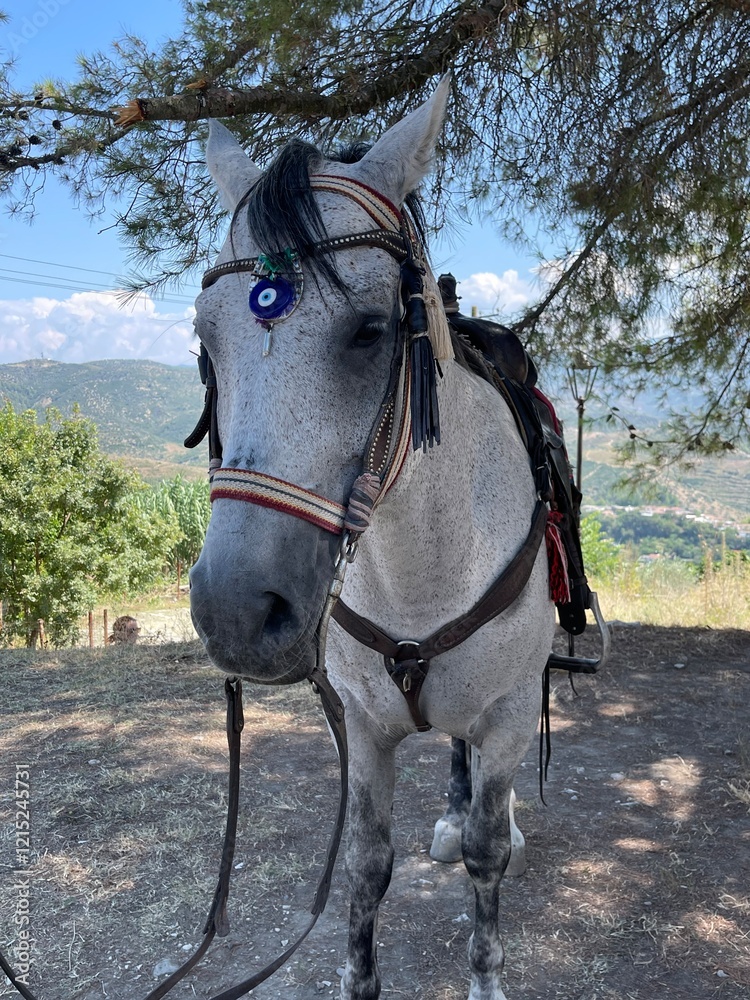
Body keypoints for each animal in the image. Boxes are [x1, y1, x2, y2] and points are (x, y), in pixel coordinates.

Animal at [189, 75, 557, 1000]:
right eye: (207, 341)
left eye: (370, 331)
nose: (238, 613)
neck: (421, 564)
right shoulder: (362, 728)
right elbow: (365, 867)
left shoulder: (507, 719)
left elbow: (487, 859)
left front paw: (486, 974)